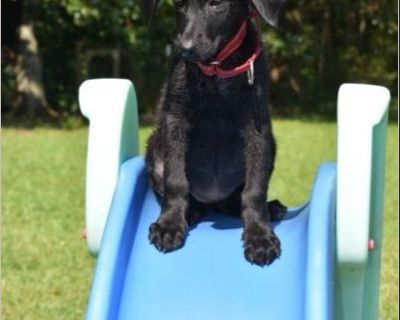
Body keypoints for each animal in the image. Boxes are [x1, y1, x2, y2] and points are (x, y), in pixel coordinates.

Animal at [144, 0, 284, 266]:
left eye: (216, 4)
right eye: (178, 5)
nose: (184, 49)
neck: (216, 73)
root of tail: (213, 203)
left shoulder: (257, 128)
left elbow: (255, 190)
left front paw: (259, 236)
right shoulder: (175, 119)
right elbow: (175, 180)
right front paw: (169, 224)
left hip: (271, 145)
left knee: (237, 200)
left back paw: (270, 209)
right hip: (155, 149)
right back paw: (192, 210)